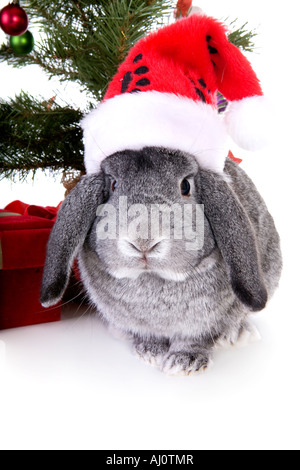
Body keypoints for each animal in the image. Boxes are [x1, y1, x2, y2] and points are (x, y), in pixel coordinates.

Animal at [41, 149, 282, 376]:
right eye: (113, 184)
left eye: (185, 186)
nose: (143, 240)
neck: (153, 277)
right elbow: (150, 337)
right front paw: (150, 352)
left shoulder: (202, 324)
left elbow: (195, 340)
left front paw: (184, 363)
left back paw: (237, 335)